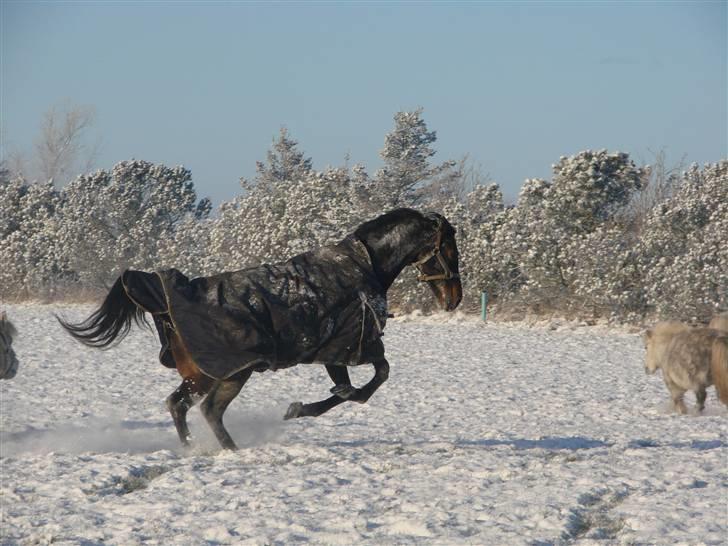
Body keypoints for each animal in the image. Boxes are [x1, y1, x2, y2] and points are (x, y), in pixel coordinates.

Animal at [59, 208, 464, 446]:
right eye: (450, 247)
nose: (454, 298)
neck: (363, 268)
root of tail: (166, 305)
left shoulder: (334, 351)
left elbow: (355, 386)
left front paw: (302, 407)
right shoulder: (345, 346)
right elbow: (370, 381)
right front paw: (298, 409)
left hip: (211, 374)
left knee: (181, 405)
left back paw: (194, 448)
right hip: (228, 372)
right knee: (205, 410)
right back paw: (229, 451)